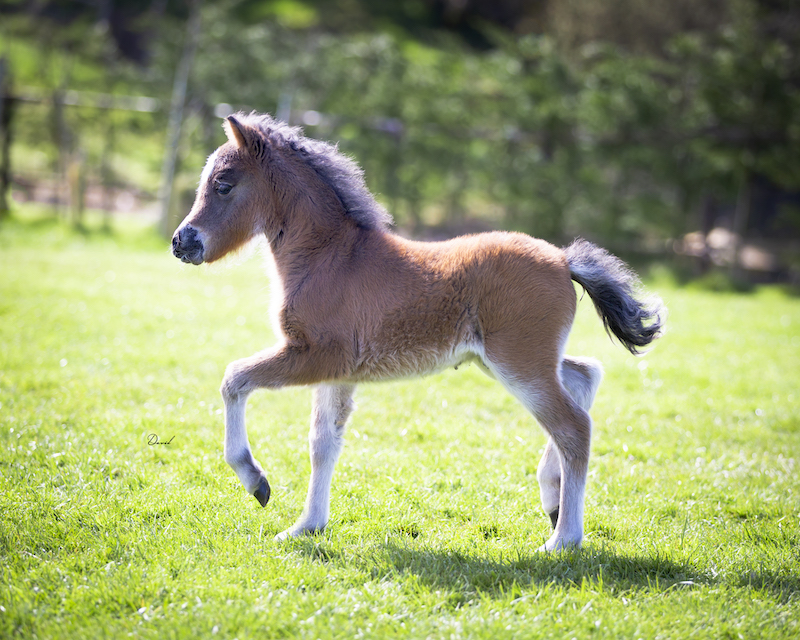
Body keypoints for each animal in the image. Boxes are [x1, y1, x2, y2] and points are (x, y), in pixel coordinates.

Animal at [172, 112, 665, 551]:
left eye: (223, 184)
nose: (181, 242)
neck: (330, 258)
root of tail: (564, 260)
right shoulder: (337, 370)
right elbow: (323, 443)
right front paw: (306, 527)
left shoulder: (314, 354)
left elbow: (234, 379)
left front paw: (256, 481)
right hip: (505, 360)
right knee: (585, 375)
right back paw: (552, 497)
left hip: (518, 363)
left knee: (573, 427)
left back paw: (563, 539)